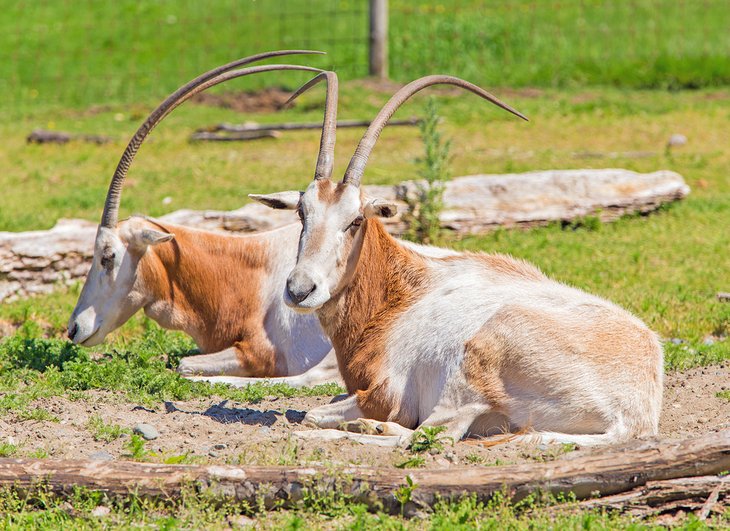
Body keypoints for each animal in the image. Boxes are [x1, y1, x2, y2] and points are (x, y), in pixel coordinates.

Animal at [253, 76, 664, 448]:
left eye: (354, 220)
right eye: (302, 212)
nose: (300, 290)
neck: (400, 293)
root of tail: (632, 416)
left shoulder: (387, 395)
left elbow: (311, 413)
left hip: (472, 368)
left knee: (434, 434)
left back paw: (364, 430)